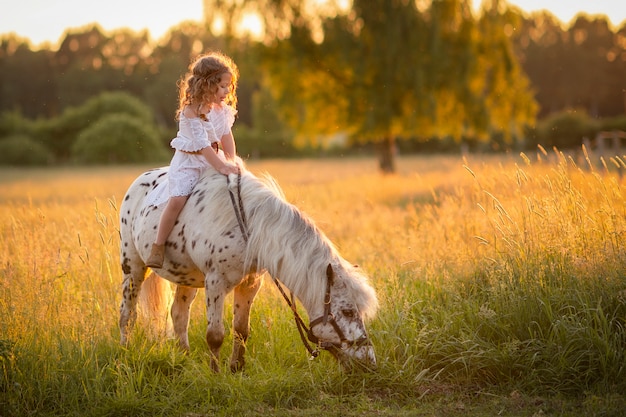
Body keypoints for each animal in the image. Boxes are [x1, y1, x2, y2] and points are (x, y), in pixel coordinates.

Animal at [119, 164, 378, 368]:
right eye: (347, 311)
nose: (370, 361)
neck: (251, 225)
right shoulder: (215, 282)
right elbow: (215, 335)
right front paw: (216, 374)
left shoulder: (250, 283)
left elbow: (241, 330)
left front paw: (236, 369)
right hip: (133, 267)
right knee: (127, 315)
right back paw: (125, 355)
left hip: (187, 277)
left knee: (179, 314)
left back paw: (185, 358)